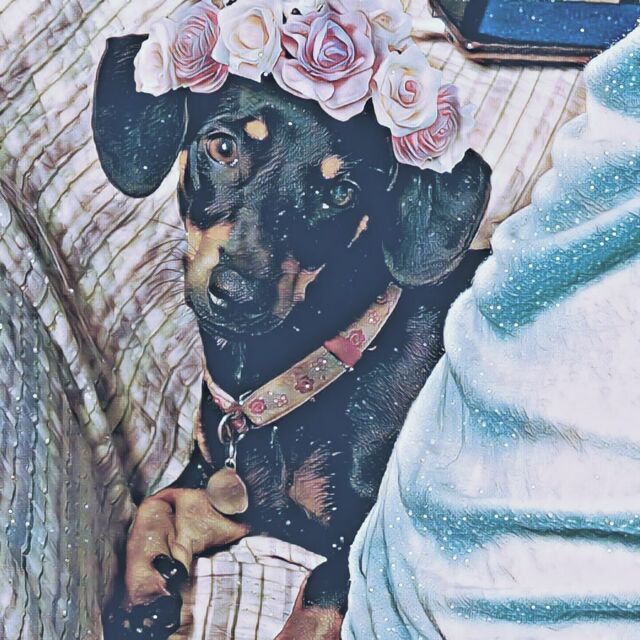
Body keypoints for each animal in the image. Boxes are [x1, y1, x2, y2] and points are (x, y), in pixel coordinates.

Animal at [93, 34, 491, 640]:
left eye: (342, 194)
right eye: (222, 147)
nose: (237, 293)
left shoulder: (356, 539)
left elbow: (318, 591)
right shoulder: (241, 497)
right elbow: (156, 503)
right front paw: (144, 596)